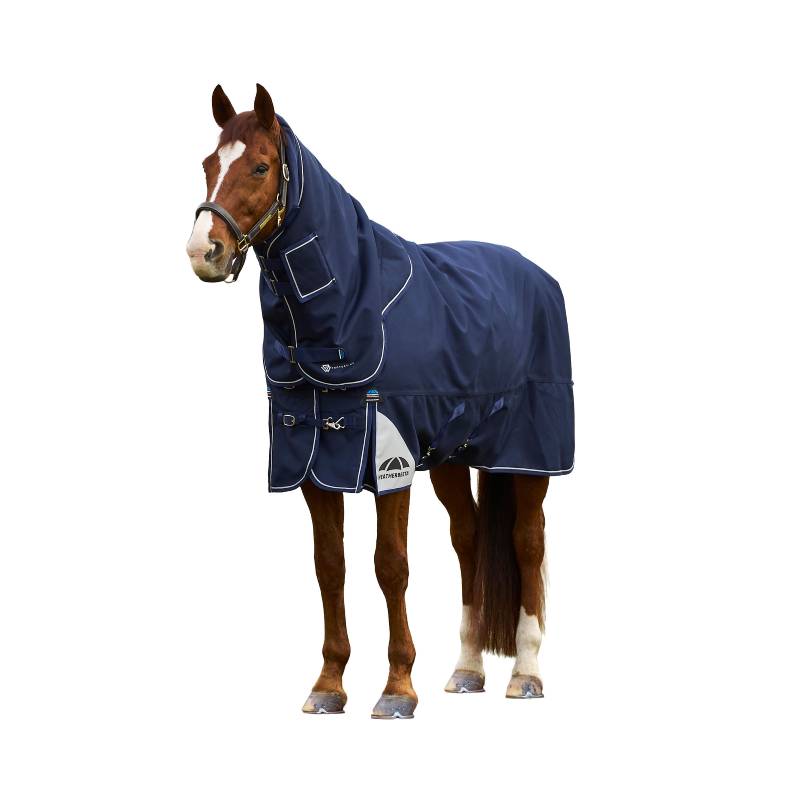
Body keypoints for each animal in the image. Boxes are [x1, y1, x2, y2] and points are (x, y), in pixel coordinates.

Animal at [186, 84, 574, 719]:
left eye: (261, 166)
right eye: (207, 165)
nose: (203, 251)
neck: (349, 305)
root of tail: (537, 276)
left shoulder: (389, 455)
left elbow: (390, 565)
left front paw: (397, 689)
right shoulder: (314, 456)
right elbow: (330, 567)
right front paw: (328, 684)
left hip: (527, 454)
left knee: (528, 543)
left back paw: (526, 674)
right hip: (452, 456)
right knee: (469, 539)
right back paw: (467, 670)